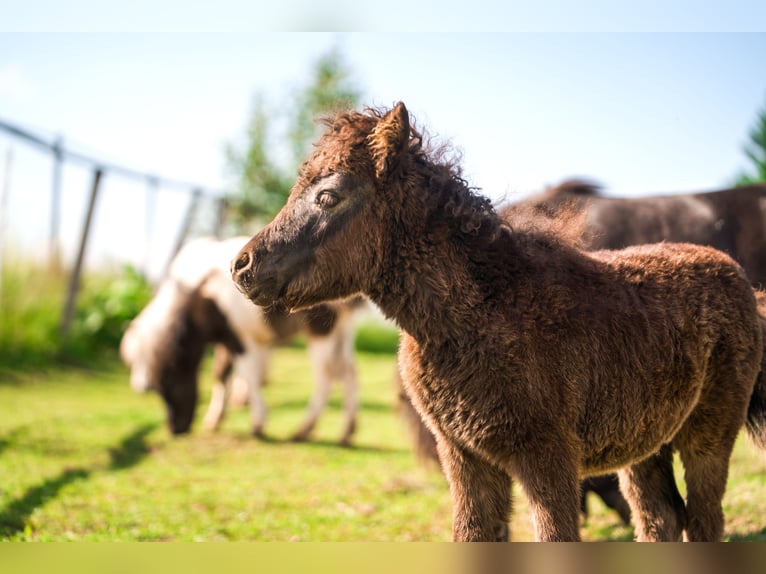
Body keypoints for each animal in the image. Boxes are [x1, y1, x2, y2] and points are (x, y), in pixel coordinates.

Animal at [121, 236, 366, 448]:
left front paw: (257, 424)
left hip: (321, 331)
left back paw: (303, 431)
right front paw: (214, 420)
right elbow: (221, 373)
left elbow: (249, 374)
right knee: (349, 373)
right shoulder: (227, 338)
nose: (175, 428)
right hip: (342, 332)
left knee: (326, 376)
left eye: (169, 381)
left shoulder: (242, 337)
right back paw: (346, 433)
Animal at [231, 104, 766, 544]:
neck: (479, 315)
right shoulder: (465, 457)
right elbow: (472, 535)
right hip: (645, 444)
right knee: (660, 518)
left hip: (709, 431)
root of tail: (739, 277)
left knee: (704, 519)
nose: (243, 266)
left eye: (328, 196)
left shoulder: (548, 458)